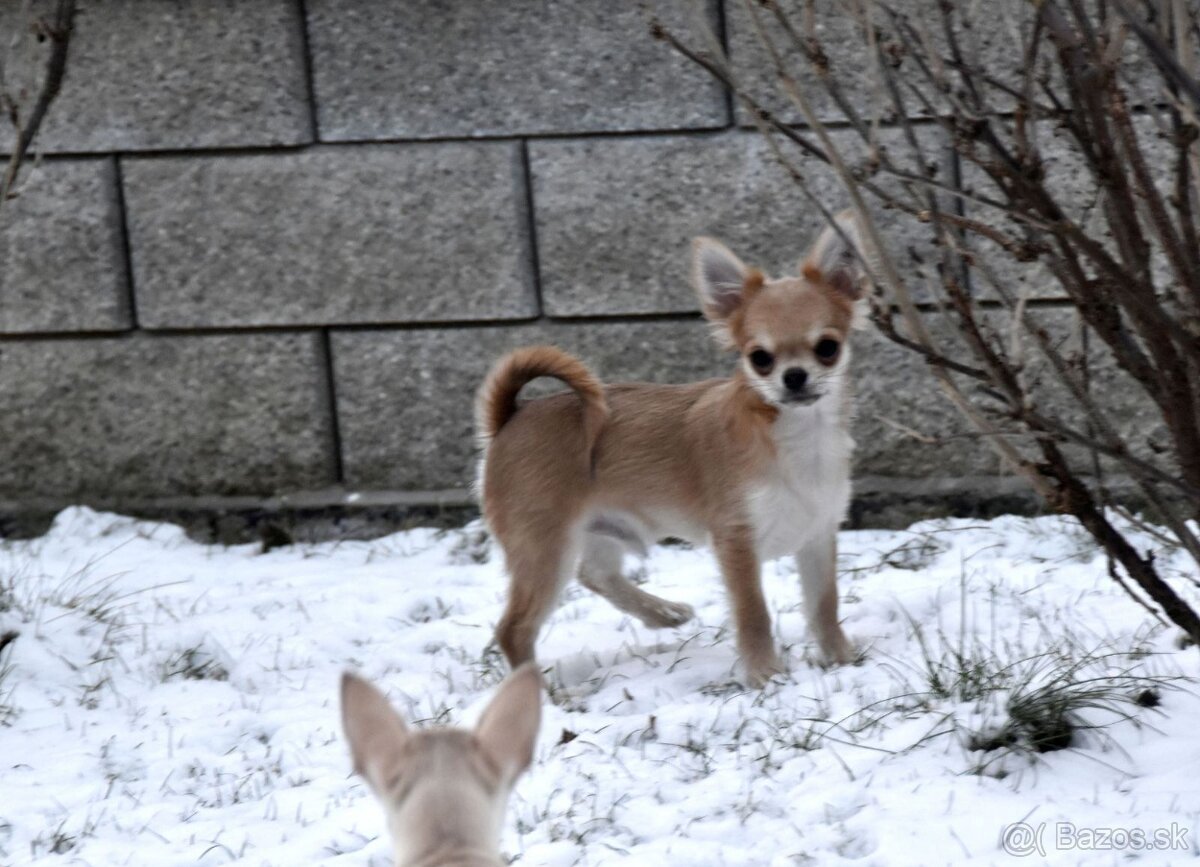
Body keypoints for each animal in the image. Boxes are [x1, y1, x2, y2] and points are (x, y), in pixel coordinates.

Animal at [475, 211, 864, 682]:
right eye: (760, 359)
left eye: (827, 348)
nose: (794, 377)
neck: (798, 438)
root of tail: (510, 416)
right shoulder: (736, 540)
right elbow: (753, 612)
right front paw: (766, 676)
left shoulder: (819, 534)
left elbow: (825, 604)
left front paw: (840, 659)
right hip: (545, 547)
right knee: (515, 629)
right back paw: (546, 693)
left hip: (595, 530)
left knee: (595, 574)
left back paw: (662, 613)